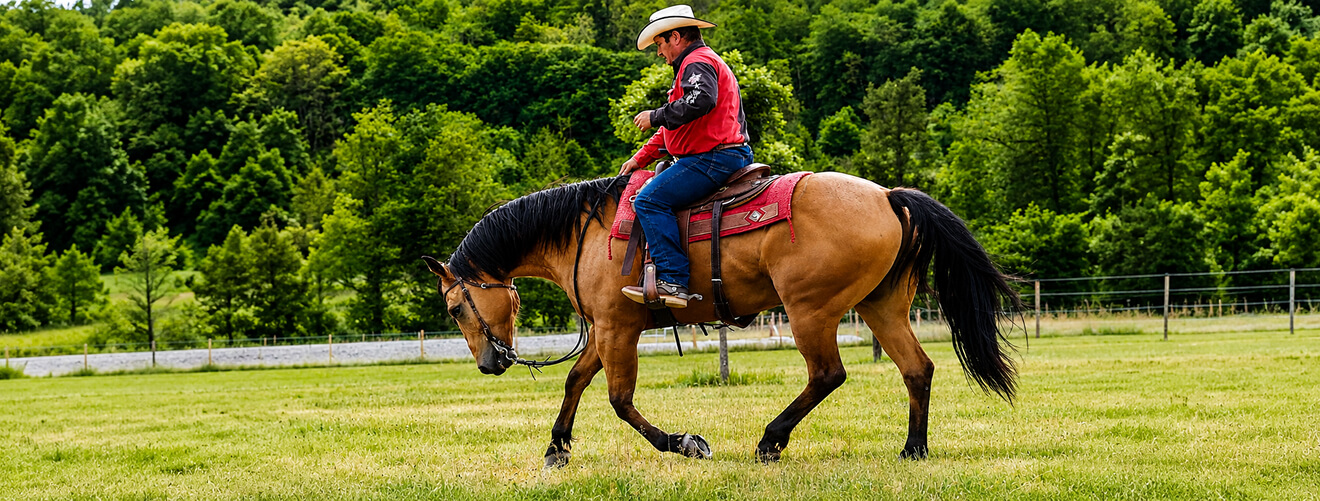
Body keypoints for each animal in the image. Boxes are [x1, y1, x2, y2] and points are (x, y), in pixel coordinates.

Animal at [420, 171, 1022, 466]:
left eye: (453, 306)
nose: (489, 364)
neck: (586, 235)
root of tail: (888, 197)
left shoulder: (618, 328)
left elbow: (618, 400)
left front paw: (686, 442)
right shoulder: (609, 329)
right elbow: (575, 381)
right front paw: (556, 449)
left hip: (810, 310)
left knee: (828, 374)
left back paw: (770, 442)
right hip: (881, 306)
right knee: (917, 369)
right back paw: (913, 449)